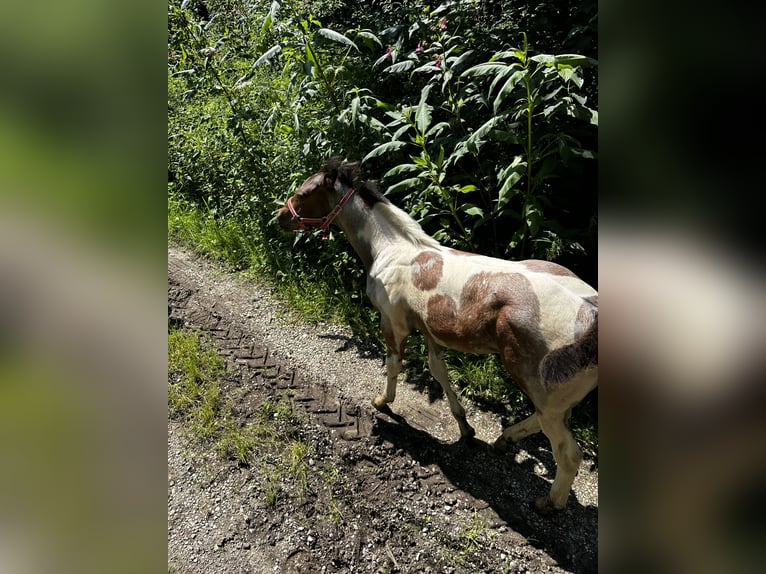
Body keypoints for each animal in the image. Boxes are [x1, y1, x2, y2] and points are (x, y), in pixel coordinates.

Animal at [278, 158, 600, 512]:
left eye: (304, 193)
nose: (279, 218)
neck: (391, 249)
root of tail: (593, 318)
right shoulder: (429, 331)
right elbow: (440, 373)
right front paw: (465, 428)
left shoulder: (393, 323)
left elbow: (393, 365)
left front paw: (382, 402)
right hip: (554, 399)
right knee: (543, 423)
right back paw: (503, 440)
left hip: (543, 393)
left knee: (568, 453)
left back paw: (547, 502)